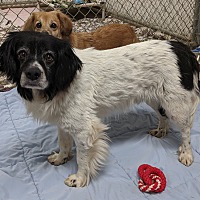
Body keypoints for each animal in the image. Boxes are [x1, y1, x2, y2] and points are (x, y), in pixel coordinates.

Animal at [0, 31, 199, 188]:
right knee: (163, 115)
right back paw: (161, 130)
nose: (33, 74)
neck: (61, 82)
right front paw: (61, 158)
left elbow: (82, 158)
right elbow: (64, 143)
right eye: (22, 53)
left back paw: (186, 153)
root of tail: (182, 48)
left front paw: (79, 179)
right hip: (155, 98)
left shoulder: (85, 129)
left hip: (175, 104)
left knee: (186, 129)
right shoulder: (64, 122)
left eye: (49, 57)